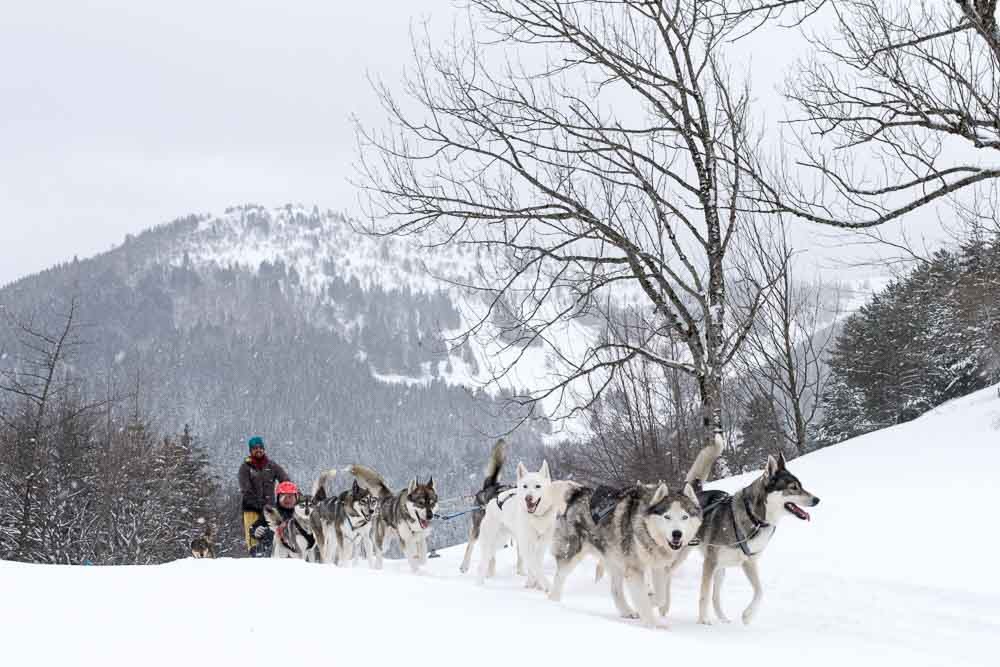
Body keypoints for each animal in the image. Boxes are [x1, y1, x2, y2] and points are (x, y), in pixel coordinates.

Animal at [476, 462, 580, 592]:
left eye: (538, 486)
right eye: (525, 486)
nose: (528, 498)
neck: (537, 518)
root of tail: (493, 500)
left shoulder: (542, 544)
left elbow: (536, 564)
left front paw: (534, 584)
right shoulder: (527, 544)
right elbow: (534, 565)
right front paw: (546, 585)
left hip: (501, 541)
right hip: (493, 541)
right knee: (483, 563)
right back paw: (479, 585)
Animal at [548, 480, 704, 628]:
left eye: (685, 517)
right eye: (667, 516)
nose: (677, 534)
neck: (647, 531)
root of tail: (579, 491)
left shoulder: (658, 568)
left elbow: (660, 597)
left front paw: (650, 602)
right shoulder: (635, 569)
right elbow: (643, 598)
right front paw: (651, 624)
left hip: (616, 561)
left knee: (615, 589)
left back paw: (626, 611)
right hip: (573, 552)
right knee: (559, 577)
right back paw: (554, 603)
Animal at [692, 452, 824, 628]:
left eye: (801, 486)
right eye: (793, 487)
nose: (817, 500)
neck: (755, 519)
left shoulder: (749, 561)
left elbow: (760, 591)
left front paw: (747, 616)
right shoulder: (710, 562)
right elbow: (703, 595)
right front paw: (703, 621)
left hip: (721, 569)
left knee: (716, 597)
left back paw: (724, 620)